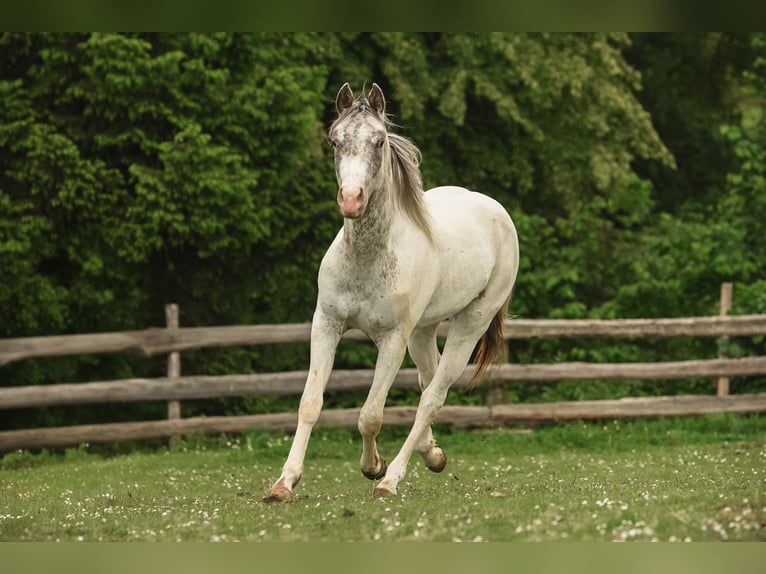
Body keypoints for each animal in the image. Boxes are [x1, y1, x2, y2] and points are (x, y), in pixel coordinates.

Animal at [264, 83, 519, 501]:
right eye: (334, 140)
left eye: (380, 141)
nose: (351, 199)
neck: (368, 258)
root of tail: (494, 209)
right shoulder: (326, 324)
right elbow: (310, 403)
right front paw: (284, 483)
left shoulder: (392, 340)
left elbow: (370, 414)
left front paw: (374, 468)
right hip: (423, 332)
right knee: (428, 381)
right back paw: (433, 455)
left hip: (469, 325)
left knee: (432, 397)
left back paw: (391, 479)